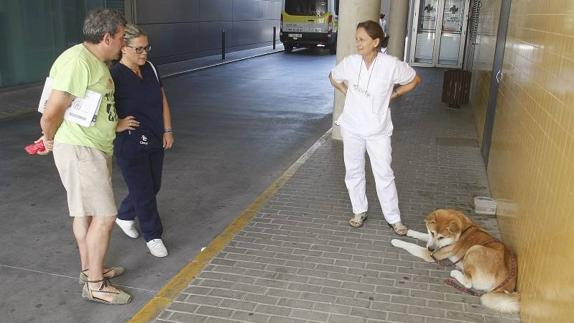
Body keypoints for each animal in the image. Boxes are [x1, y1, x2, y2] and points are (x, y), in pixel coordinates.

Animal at [392, 210, 520, 314]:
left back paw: (456, 272)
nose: (431, 249)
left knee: (469, 283)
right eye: (432, 233)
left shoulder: (431, 255)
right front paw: (409, 232)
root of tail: (507, 284)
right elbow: (423, 236)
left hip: (474, 249)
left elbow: (411, 245)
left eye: (441, 237)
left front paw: (396, 241)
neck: (461, 232)